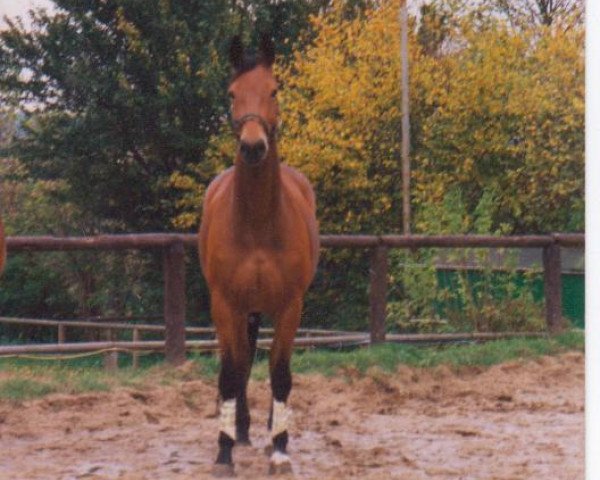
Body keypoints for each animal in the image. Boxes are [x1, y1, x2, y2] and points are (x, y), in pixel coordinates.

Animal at [198, 34, 322, 476]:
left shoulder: (290, 306)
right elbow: (231, 374)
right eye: (232, 93)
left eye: (274, 90)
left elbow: (280, 373)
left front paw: (281, 448)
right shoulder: (225, 304)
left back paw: (268, 433)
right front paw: (223, 452)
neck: (255, 223)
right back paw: (241, 431)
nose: (253, 147)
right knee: (239, 363)